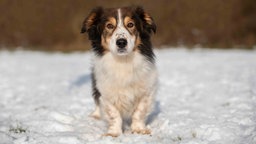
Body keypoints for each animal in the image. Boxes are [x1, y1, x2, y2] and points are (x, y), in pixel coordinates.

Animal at [81, 5, 157, 137]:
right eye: (109, 26)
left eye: (131, 24)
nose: (121, 42)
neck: (123, 61)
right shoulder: (106, 92)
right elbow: (113, 114)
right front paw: (114, 133)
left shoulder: (147, 90)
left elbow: (139, 112)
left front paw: (138, 130)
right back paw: (95, 115)